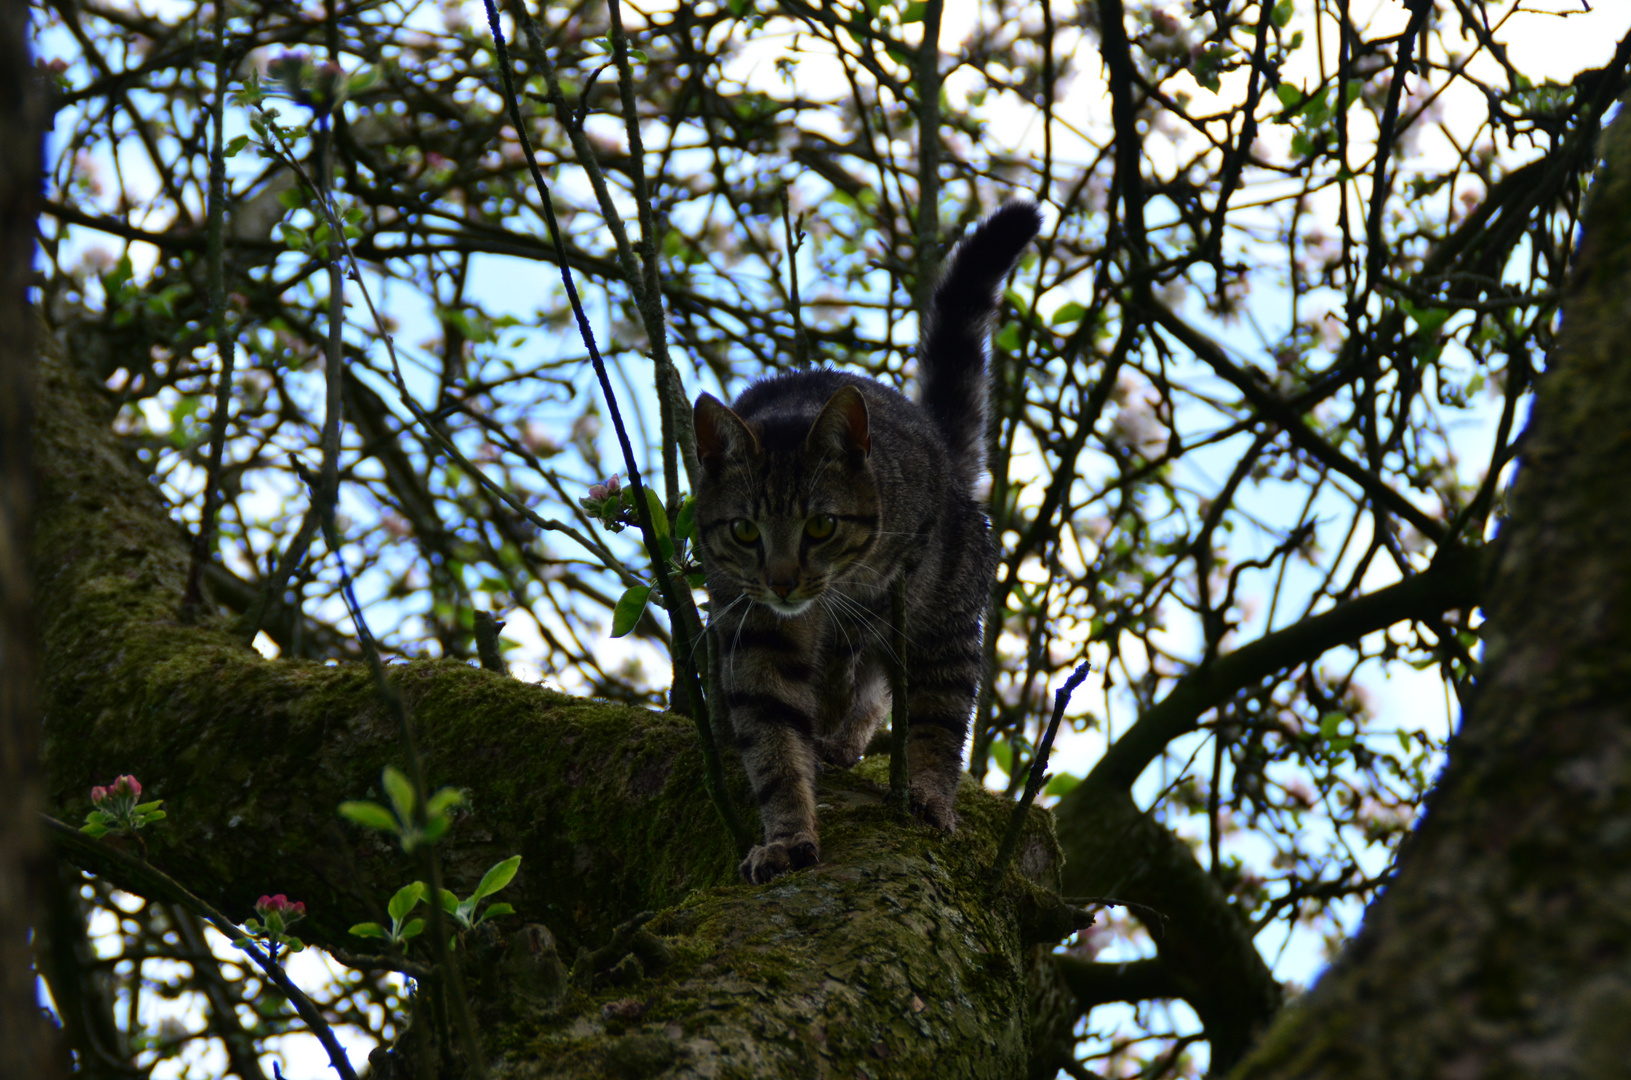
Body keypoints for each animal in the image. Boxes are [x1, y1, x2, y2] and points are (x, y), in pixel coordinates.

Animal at [694, 200, 1037, 880]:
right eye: (744, 530)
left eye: (821, 525)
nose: (783, 581)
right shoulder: (755, 634)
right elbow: (774, 748)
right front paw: (788, 834)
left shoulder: (930, 602)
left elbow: (933, 715)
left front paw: (927, 792)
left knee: (909, 695)